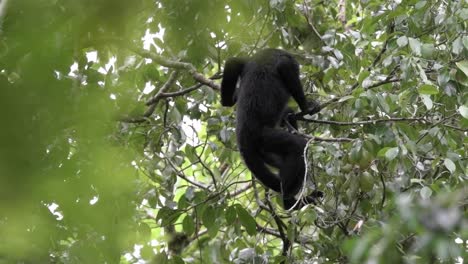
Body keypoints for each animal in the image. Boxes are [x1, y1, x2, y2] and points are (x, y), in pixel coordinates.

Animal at [220, 48, 322, 209]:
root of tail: (241, 137)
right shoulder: (288, 60)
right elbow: (285, 68)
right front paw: (307, 106)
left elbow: (233, 62)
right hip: (263, 137)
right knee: (297, 146)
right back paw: (289, 200)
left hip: (264, 151)